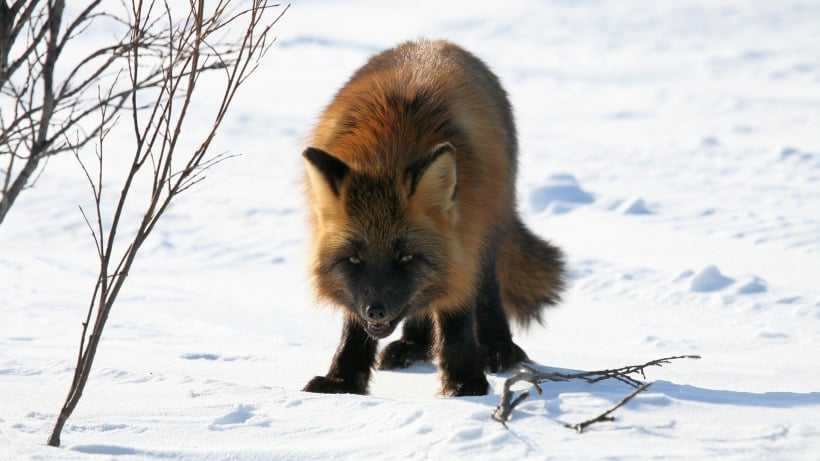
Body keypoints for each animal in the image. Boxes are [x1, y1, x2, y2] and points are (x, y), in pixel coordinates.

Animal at [304, 37, 568, 396]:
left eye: (406, 258)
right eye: (354, 260)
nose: (377, 310)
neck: (389, 150)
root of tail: (438, 42)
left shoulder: (467, 236)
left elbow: (457, 314)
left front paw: (464, 384)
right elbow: (354, 325)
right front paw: (342, 382)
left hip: (487, 232)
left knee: (483, 293)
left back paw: (498, 350)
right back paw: (413, 346)